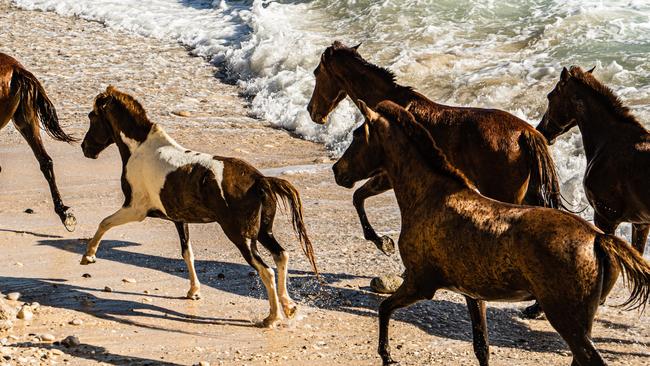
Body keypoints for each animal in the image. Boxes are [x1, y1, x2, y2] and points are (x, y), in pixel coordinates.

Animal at [79, 87, 318, 328]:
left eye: (92, 116)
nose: (85, 148)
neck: (140, 148)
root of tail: (260, 180)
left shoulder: (135, 209)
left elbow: (105, 222)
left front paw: (88, 256)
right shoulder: (179, 218)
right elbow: (187, 253)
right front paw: (193, 291)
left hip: (241, 236)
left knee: (266, 270)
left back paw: (272, 317)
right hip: (262, 232)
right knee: (281, 256)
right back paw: (289, 307)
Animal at [334, 100, 648, 366]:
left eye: (357, 136)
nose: (337, 171)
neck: (430, 195)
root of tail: (599, 238)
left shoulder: (420, 284)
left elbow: (384, 308)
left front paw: (386, 355)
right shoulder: (473, 294)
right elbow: (481, 347)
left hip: (567, 319)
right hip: (582, 322)